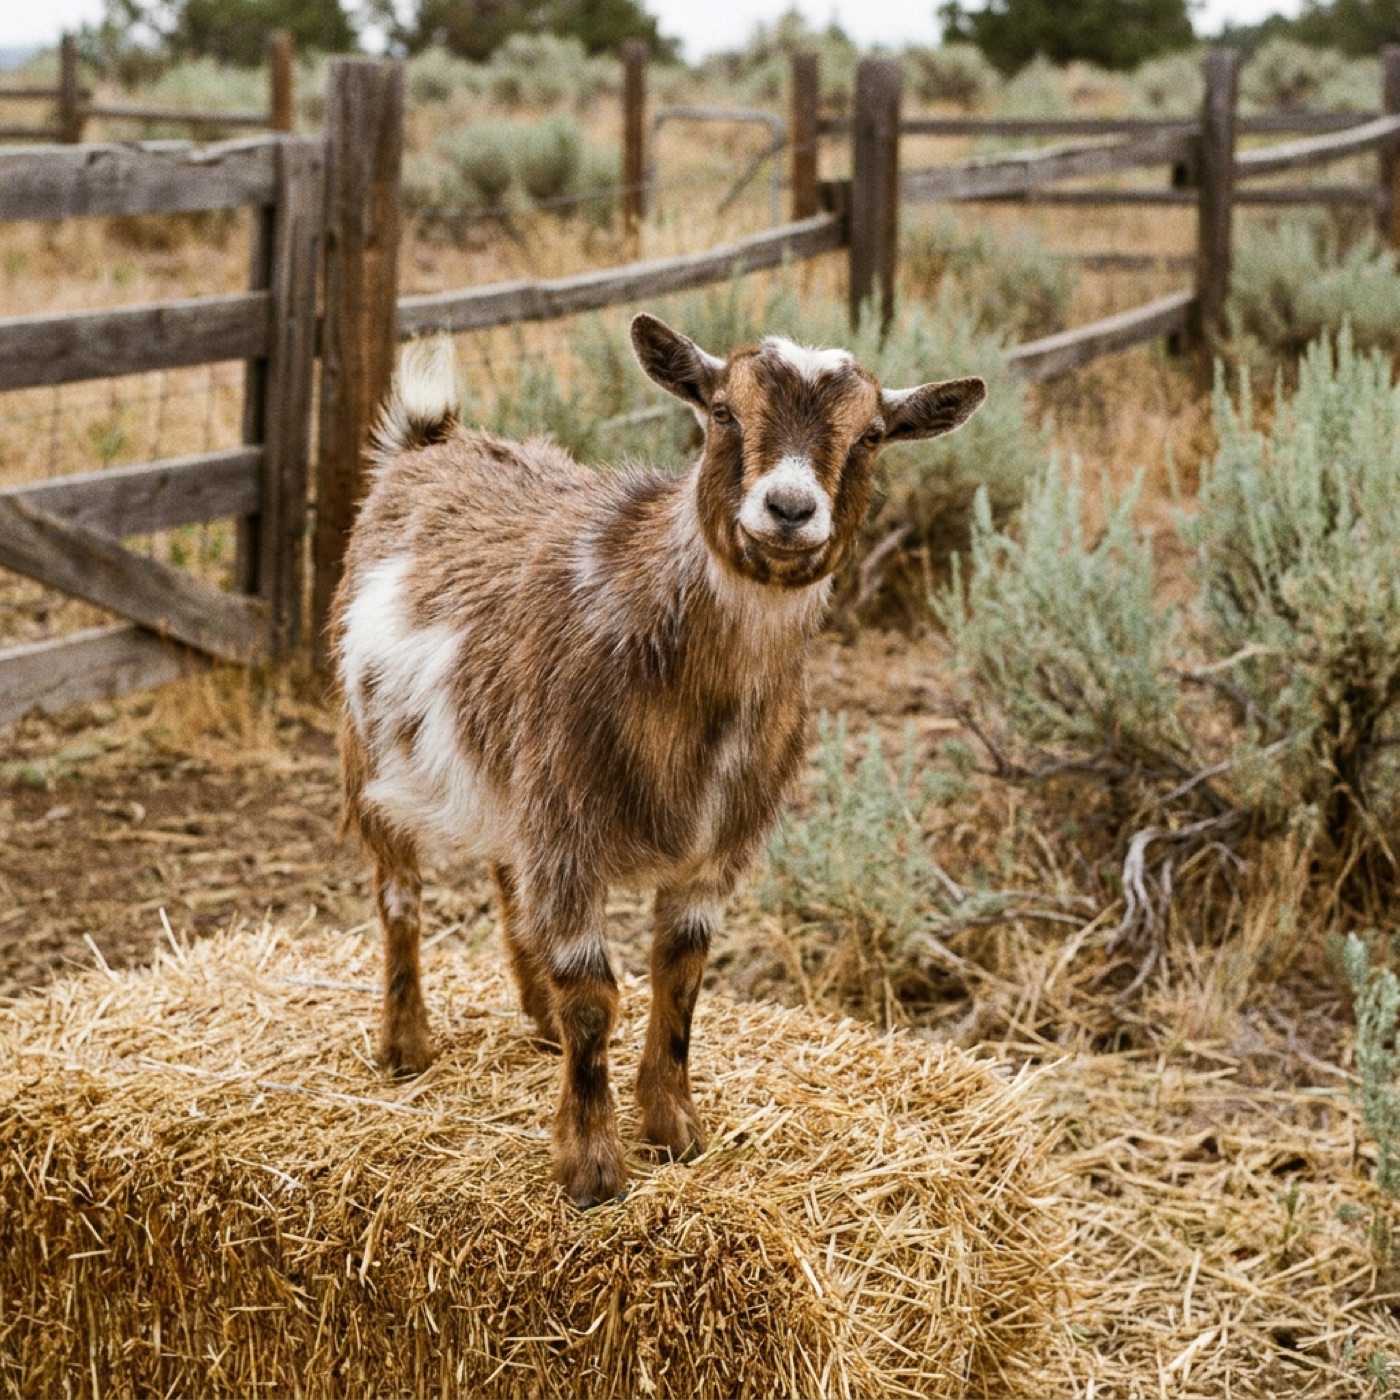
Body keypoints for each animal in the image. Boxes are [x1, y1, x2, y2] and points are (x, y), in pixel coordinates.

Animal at [331, 315, 985, 1205]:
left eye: (873, 435)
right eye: (723, 410)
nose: (788, 508)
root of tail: (431, 442)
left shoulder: (711, 852)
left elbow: (680, 979)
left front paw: (675, 1128)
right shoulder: (569, 833)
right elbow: (593, 995)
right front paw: (592, 1167)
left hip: (505, 774)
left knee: (506, 877)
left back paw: (532, 1013)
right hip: (371, 755)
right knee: (398, 892)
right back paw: (405, 1044)